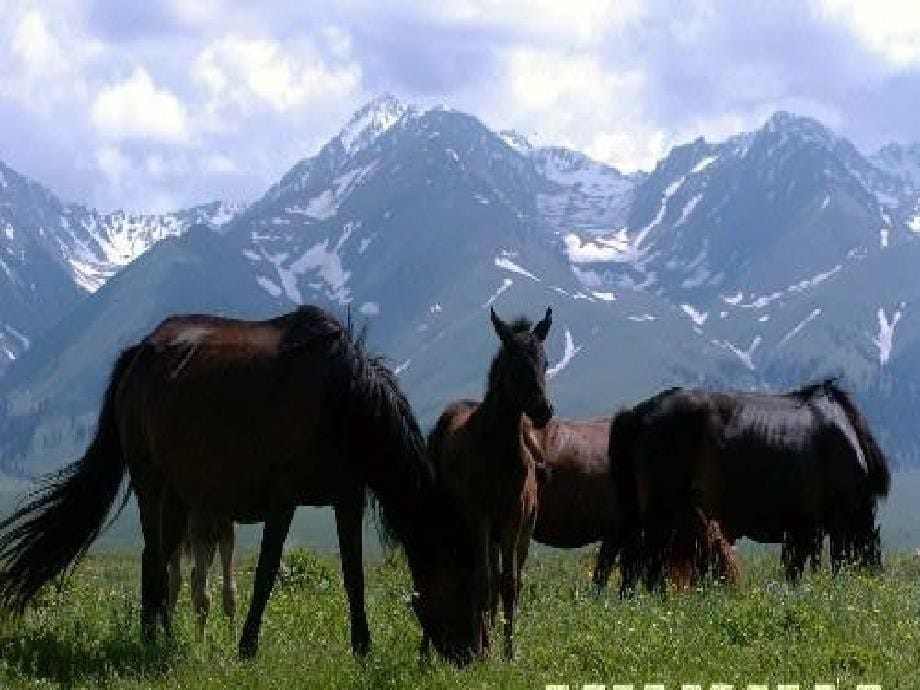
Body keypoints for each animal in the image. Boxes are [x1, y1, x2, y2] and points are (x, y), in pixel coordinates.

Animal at [167, 510, 237, 640]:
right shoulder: (198, 528)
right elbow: (203, 598)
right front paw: (200, 641)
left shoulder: (226, 528)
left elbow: (230, 591)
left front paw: (233, 638)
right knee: (175, 578)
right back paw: (169, 629)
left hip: (211, 541)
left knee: (193, 575)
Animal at [426, 306, 548, 656]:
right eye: (516, 364)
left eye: (545, 362)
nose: (543, 411)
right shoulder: (478, 515)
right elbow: (482, 583)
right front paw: (485, 652)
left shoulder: (513, 519)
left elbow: (509, 585)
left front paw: (508, 653)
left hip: (517, 533)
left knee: (501, 578)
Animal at [612, 378, 892, 588]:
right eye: (874, 554)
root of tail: (639, 413)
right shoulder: (823, 525)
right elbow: (813, 567)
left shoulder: (802, 529)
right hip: (661, 511)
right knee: (650, 564)